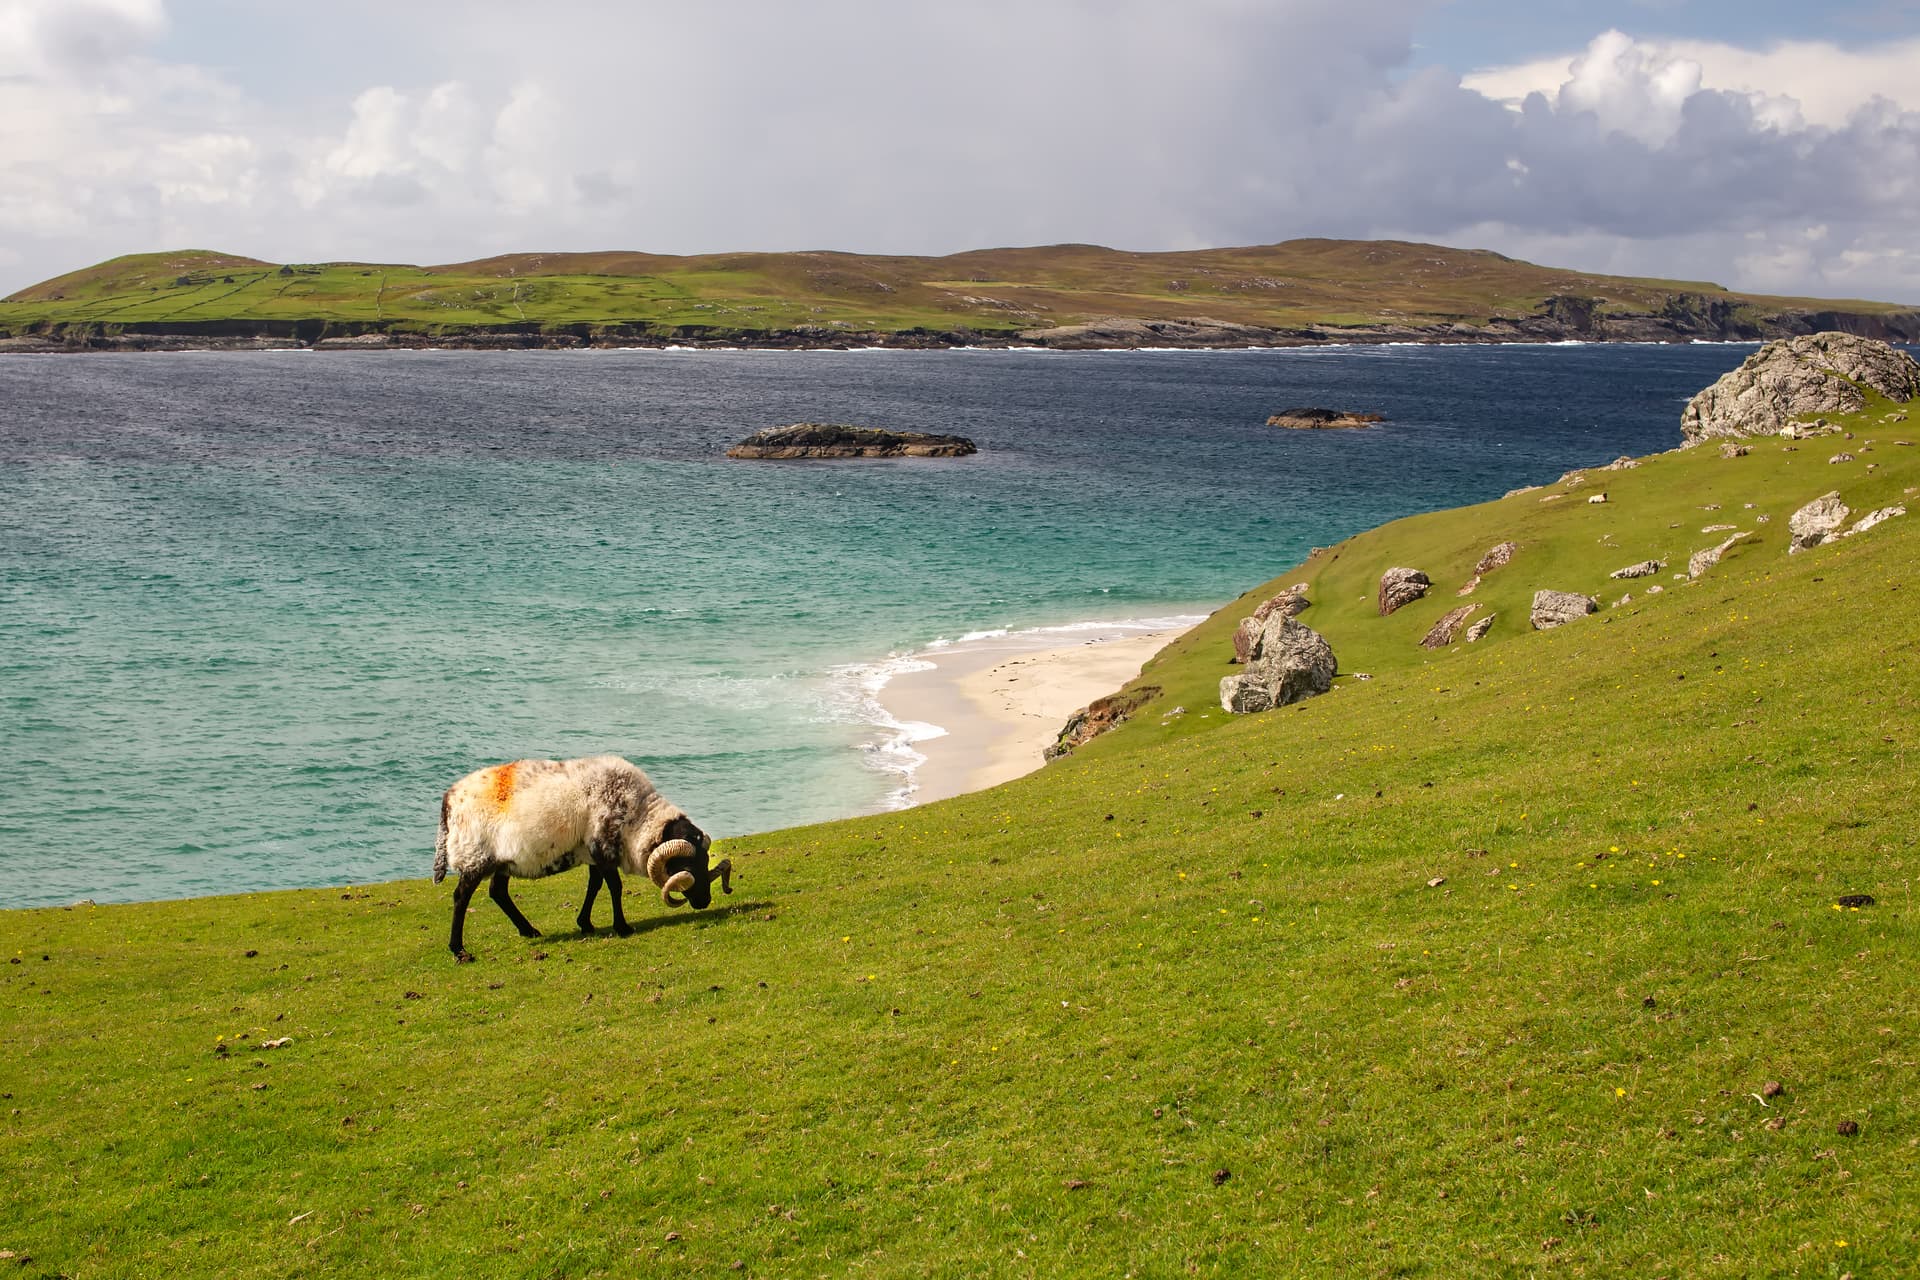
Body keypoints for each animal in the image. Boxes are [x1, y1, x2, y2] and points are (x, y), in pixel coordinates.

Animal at [432, 754, 731, 961]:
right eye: (686, 865)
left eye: (704, 862)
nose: (704, 901)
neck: (636, 816)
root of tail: (449, 800)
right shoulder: (603, 847)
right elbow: (614, 887)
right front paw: (622, 927)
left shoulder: (593, 851)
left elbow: (594, 886)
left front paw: (585, 924)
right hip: (474, 856)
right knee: (461, 898)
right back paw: (459, 950)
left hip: (502, 860)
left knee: (498, 892)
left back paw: (529, 931)